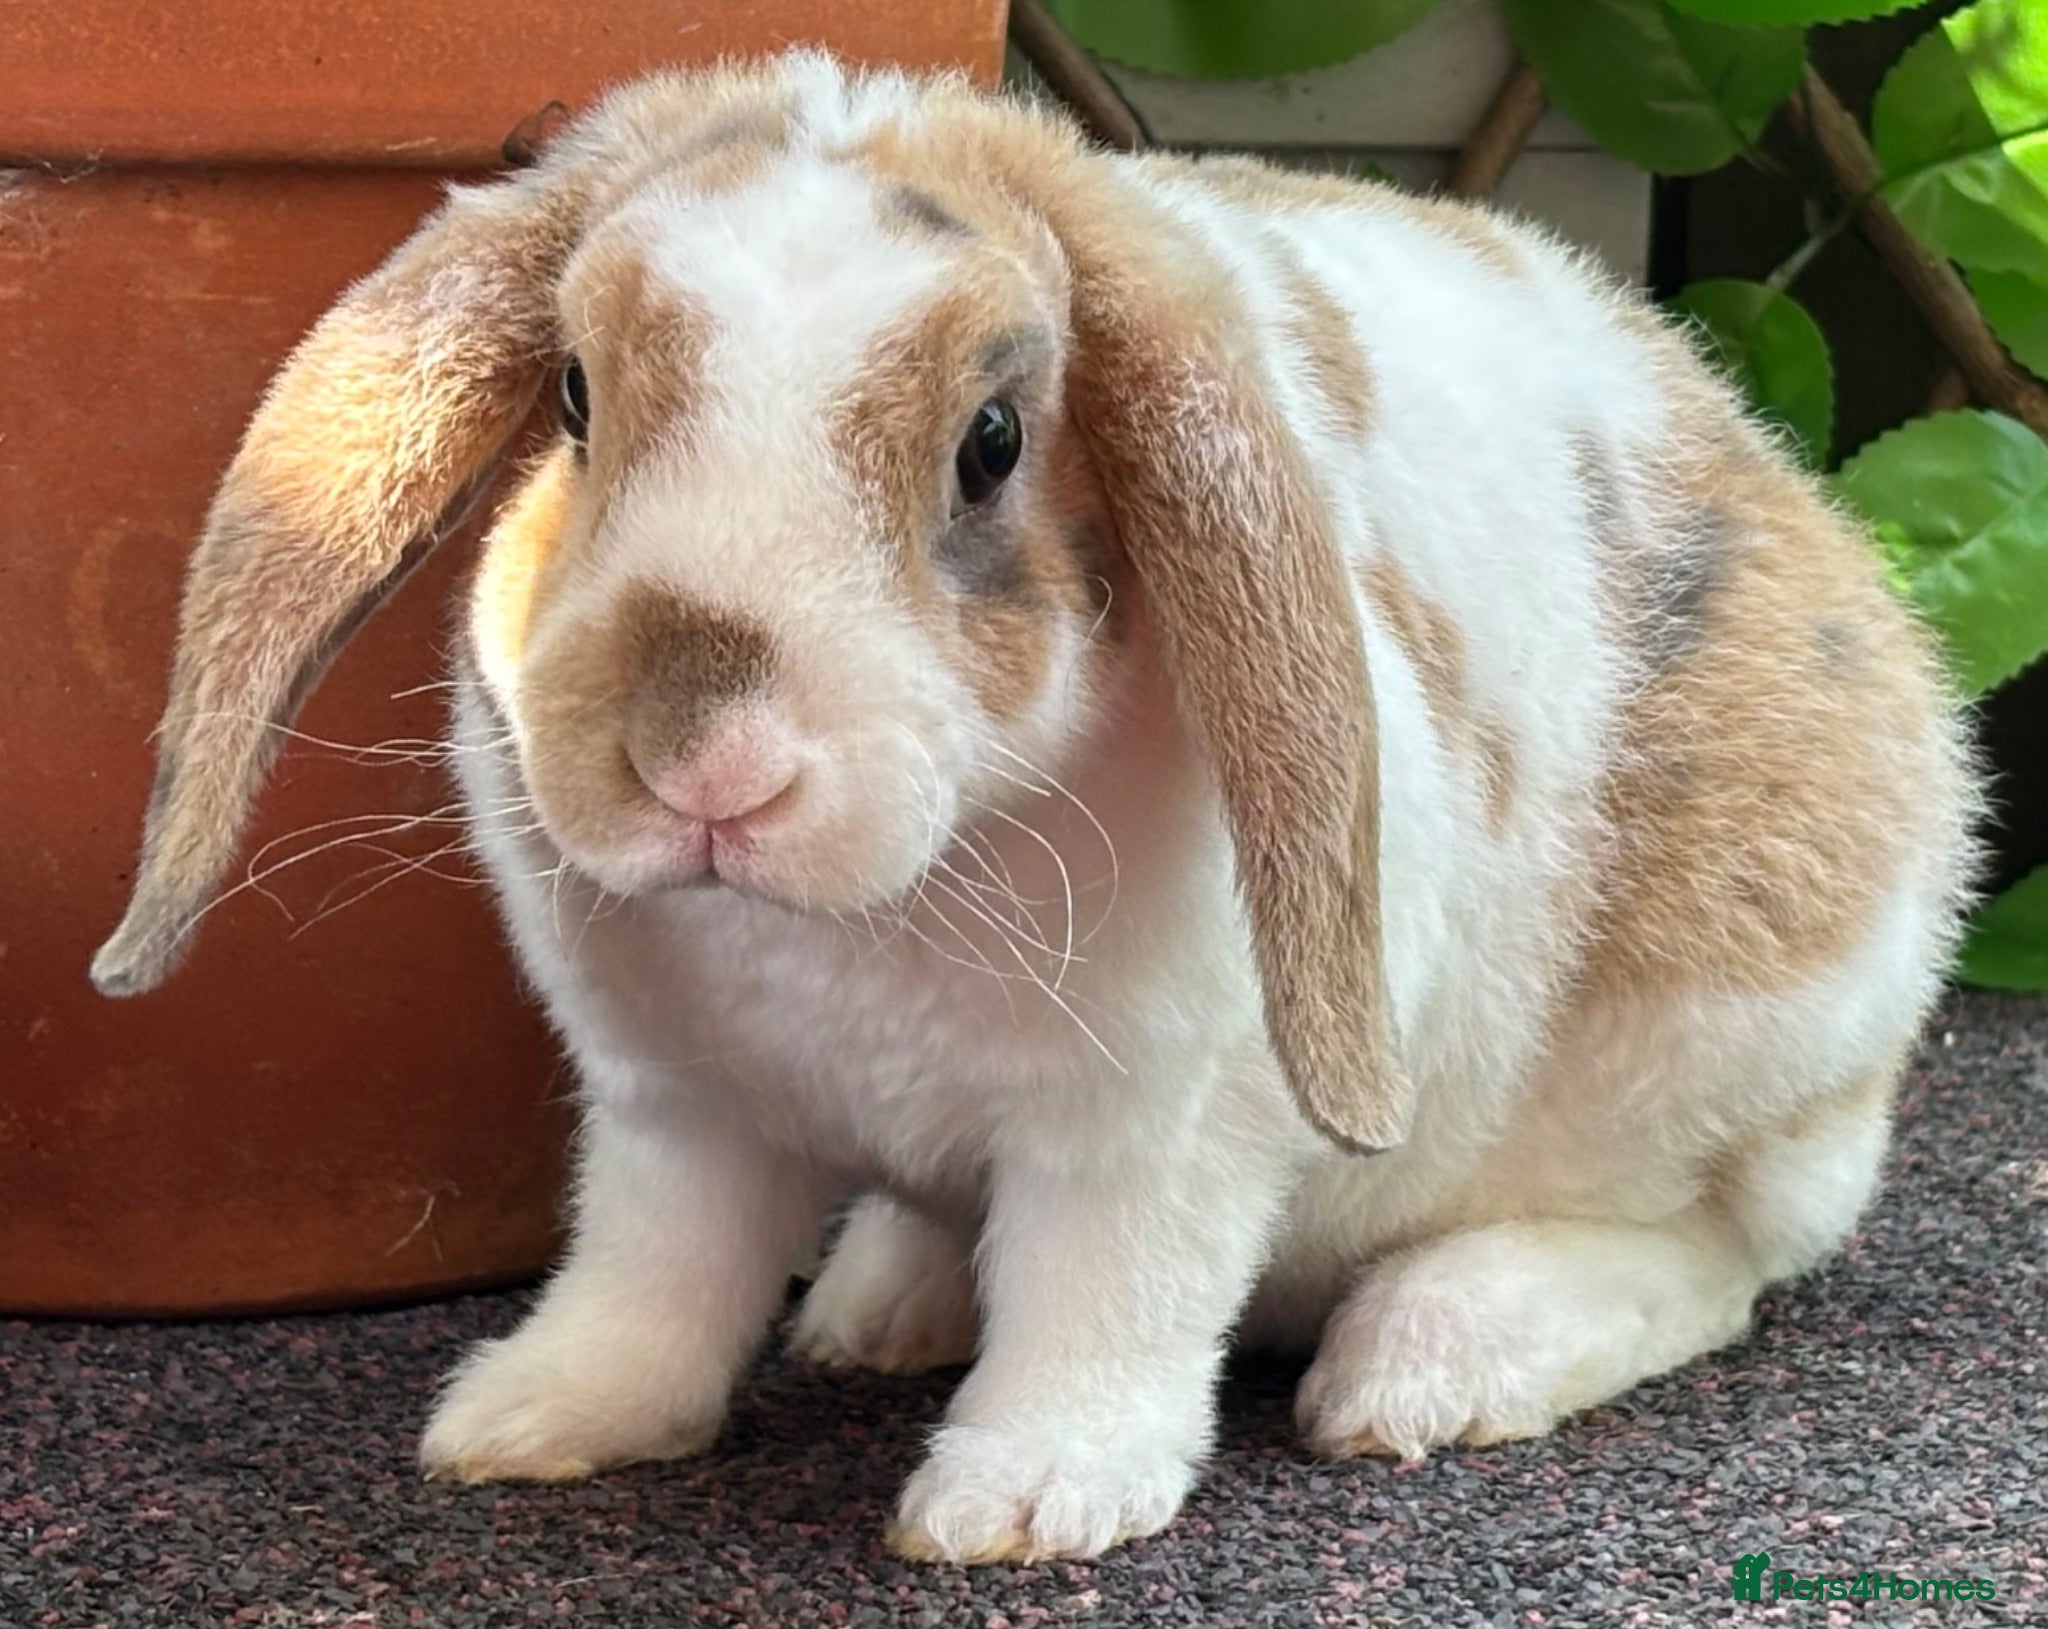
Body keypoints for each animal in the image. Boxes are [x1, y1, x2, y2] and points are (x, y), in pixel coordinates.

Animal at [92, 51, 1977, 1564]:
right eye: (572, 395)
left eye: (992, 440)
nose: (699, 761)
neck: (866, 915)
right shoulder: (676, 1110)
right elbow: (653, 1276)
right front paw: (528, 1418)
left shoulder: (1154, 1134)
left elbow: (1101, 1303)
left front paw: (1022, 1504)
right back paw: (888, 1295)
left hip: (1724, 1050)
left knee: (1711, 1249)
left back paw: (1428, 1358)